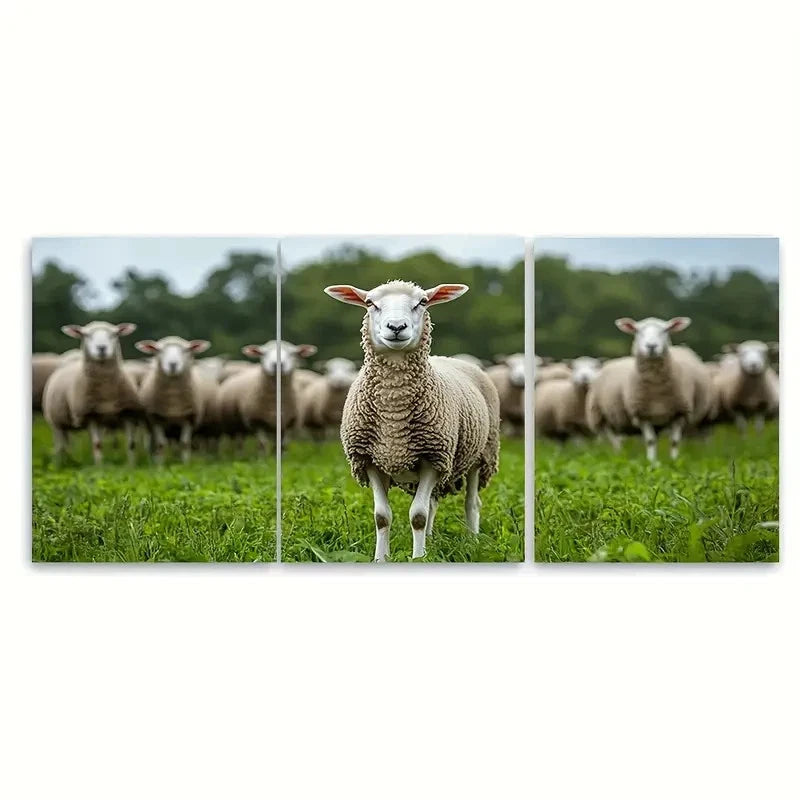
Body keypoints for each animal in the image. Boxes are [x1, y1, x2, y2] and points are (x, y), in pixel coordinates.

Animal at [42, 321, 142, 465]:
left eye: (114, 334)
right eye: (86, 335)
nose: (102, 348)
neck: (106, 391)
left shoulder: (128, 413)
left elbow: (131, 444)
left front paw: (131, 465)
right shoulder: (91, 415)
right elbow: (97, 444)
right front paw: (100, 466)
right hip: (56, 422)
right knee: (60, 445)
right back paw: (60, 463)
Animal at [325, 280, 500, 562]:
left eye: (422, 302)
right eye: (370, 303)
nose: (396, 327)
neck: (394, 414)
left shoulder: (433, 457)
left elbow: (417, 516)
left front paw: (418, 558)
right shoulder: (370, 460)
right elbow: (382, 517)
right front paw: (381, 558)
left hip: (481, 454)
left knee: (471, 502)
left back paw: (472, 542)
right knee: (432, 502)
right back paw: (431, 540)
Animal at [598, 316, 713, 462]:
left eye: (666, 330)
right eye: (637, 330)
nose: (651, 346)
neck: (656, 388)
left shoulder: (679, 413)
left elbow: (674, 441)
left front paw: (673, 461)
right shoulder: (642, 415)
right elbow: (650, 441)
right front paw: (651, 462)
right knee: (616, 440)